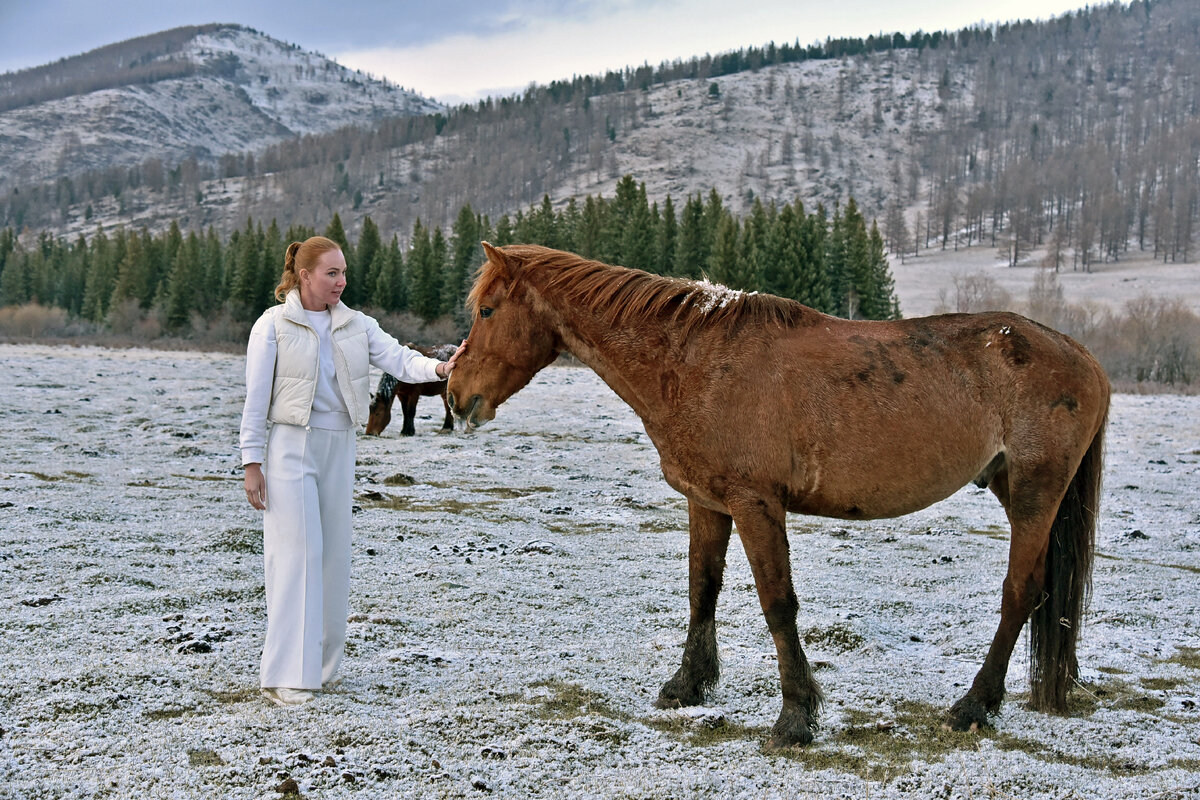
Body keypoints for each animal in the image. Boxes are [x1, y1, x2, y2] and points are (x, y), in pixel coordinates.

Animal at [446, 244, 1108, 753]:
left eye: (487, 309)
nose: (455, 392)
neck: (693, 361)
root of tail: (1083, 356)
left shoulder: (756, 505)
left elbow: (777, 604)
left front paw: (795, 717)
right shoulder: (709, 503)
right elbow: (702, 588)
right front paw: (687, 686)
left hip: (1035, 493)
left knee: (1020, 590)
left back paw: (973, 706)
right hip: (1015, 489)